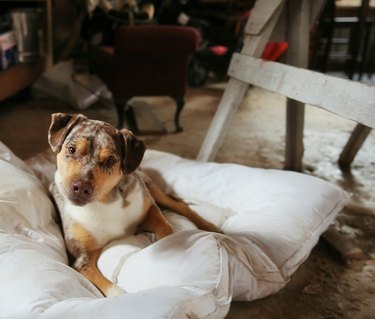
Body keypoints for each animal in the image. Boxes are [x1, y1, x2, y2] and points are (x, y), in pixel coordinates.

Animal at [48, 112, 222, 298]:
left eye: (110, 161)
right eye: (71, 149)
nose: (81, 187)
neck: (105, 200)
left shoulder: (149, 207)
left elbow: (166, 228)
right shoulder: (82, 259)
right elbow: (114, 290)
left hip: (151, 187)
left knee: (180, 205)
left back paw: (212, 227)